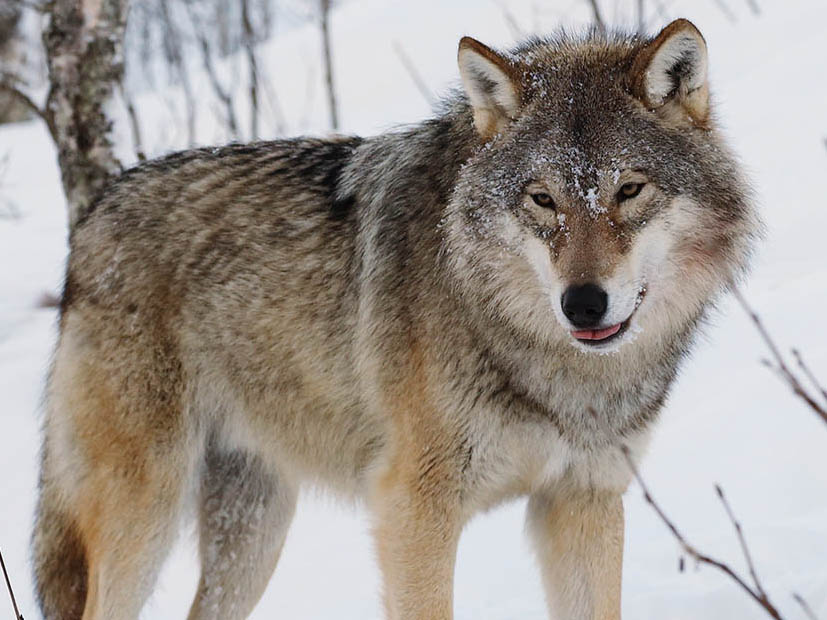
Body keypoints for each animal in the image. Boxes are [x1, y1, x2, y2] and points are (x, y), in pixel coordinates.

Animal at [32, 18, 759, 620]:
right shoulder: (413, 509)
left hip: (253, 531)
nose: (582, 303)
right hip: (146, 513)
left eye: (629, 190)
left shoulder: (583, 500)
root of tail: (94, 214)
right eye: (543, 200)